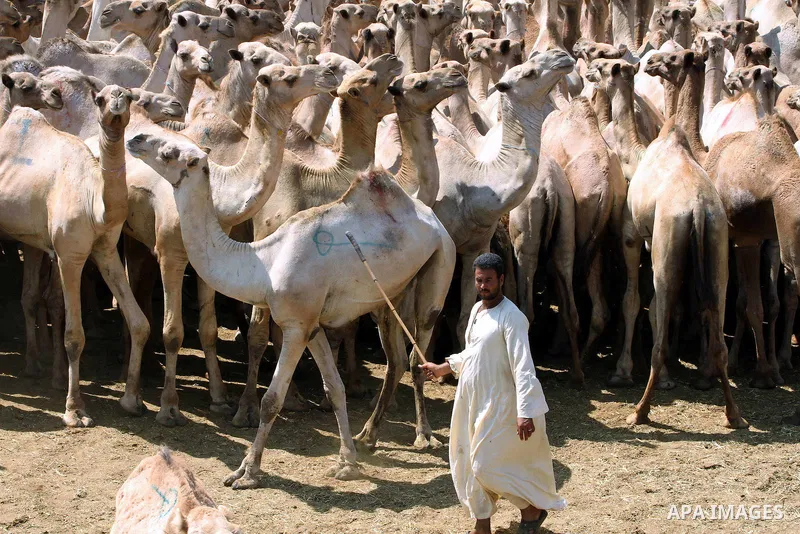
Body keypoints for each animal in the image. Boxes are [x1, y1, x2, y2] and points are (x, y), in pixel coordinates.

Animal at [0, 85, 150, 427]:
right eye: (100, 99)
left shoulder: (105, 251)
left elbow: (140, 323)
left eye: (128, 97)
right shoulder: (70, 256)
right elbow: (74, 335)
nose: (116, 102)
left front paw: (132, 400)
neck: (96, 202)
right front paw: (74, 410)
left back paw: (34, 367)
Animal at [93, 63, 338, 426]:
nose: (329, 73)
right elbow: (174, 331)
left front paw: (221, 398)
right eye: (288, 76)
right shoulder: (171, 255)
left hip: (136, 238)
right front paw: (169, 407)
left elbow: (207, 330)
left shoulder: (208, 260)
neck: (220, 193)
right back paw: (129, 388)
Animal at [125, 130, 455, 487]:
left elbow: (272, 399)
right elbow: (334, 387)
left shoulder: (296, 326)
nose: (135, 138)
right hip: (390, 296)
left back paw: (423, 436)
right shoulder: (312, 326)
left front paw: (247, 471)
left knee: (417, 354)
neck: (265, 263)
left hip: (440, 263)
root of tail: (433, 219)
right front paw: (347, 462)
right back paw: (368, 436)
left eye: (169, 153)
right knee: (395, 359)